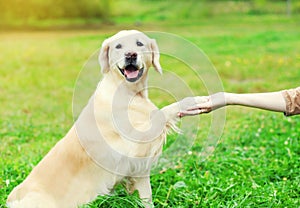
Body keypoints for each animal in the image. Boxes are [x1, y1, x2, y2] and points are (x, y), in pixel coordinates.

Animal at [7, 30, 195, 207]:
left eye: (139, 43)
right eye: (118, 46)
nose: (130, 54)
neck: (129, 92)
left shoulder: (137, 166)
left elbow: (146, 195)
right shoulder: (133, 144)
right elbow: (162, 113)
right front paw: (191, 103)